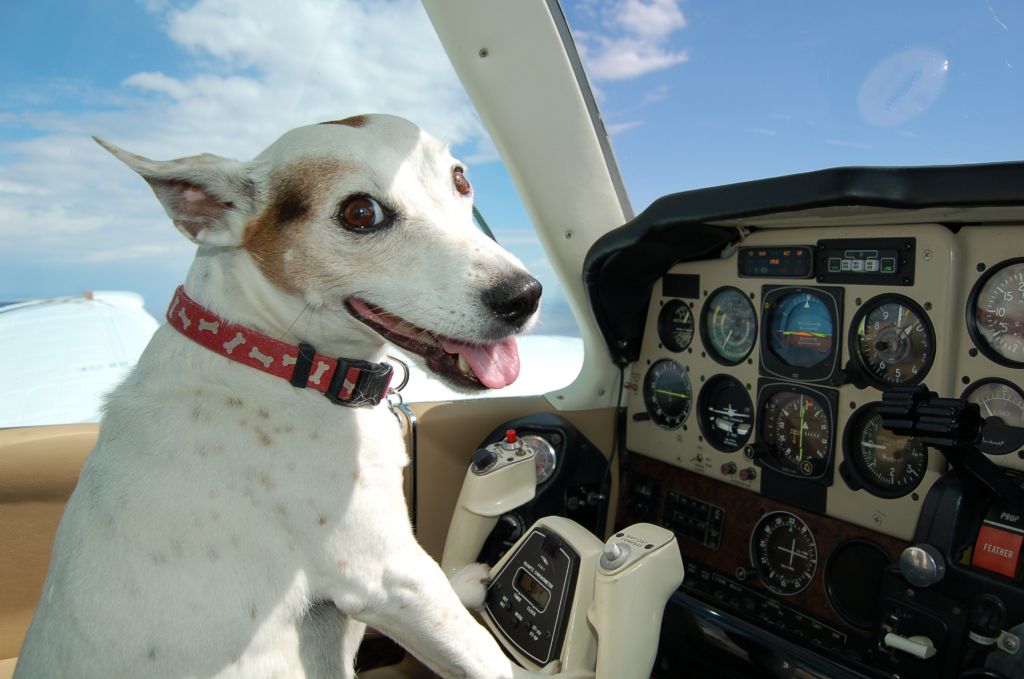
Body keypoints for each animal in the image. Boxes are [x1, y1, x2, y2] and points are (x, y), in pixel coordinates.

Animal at [12, 115, 552, 679]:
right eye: (361, 213)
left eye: (460, 179)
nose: (524, 296)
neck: (274, 356)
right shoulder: (389, 574)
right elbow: (484, 655)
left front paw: (467, 581)